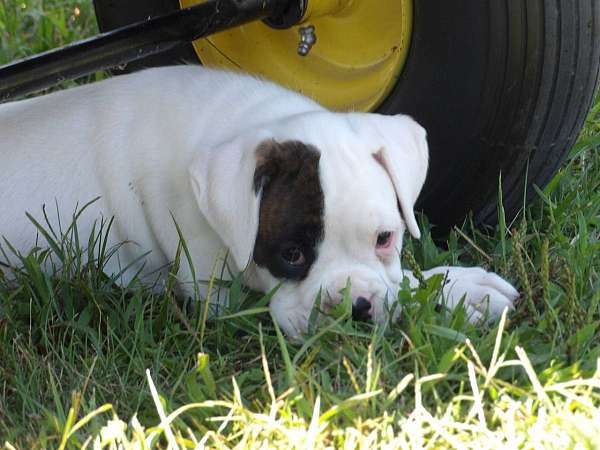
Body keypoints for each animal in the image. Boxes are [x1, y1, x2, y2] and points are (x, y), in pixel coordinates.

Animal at [0, 66, 516, 338]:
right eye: (291, 254)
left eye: (385, 238)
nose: (352, 308)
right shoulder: (221, 297)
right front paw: (456, 292)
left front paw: (458, 287)